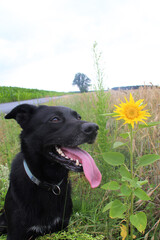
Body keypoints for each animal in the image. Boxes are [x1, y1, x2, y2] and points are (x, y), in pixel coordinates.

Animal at [0, 105, 101, 240]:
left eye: (78, 117)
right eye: (55, 119)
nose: (94, 128)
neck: (48, 183)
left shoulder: (62, 226)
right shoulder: (16, 233)